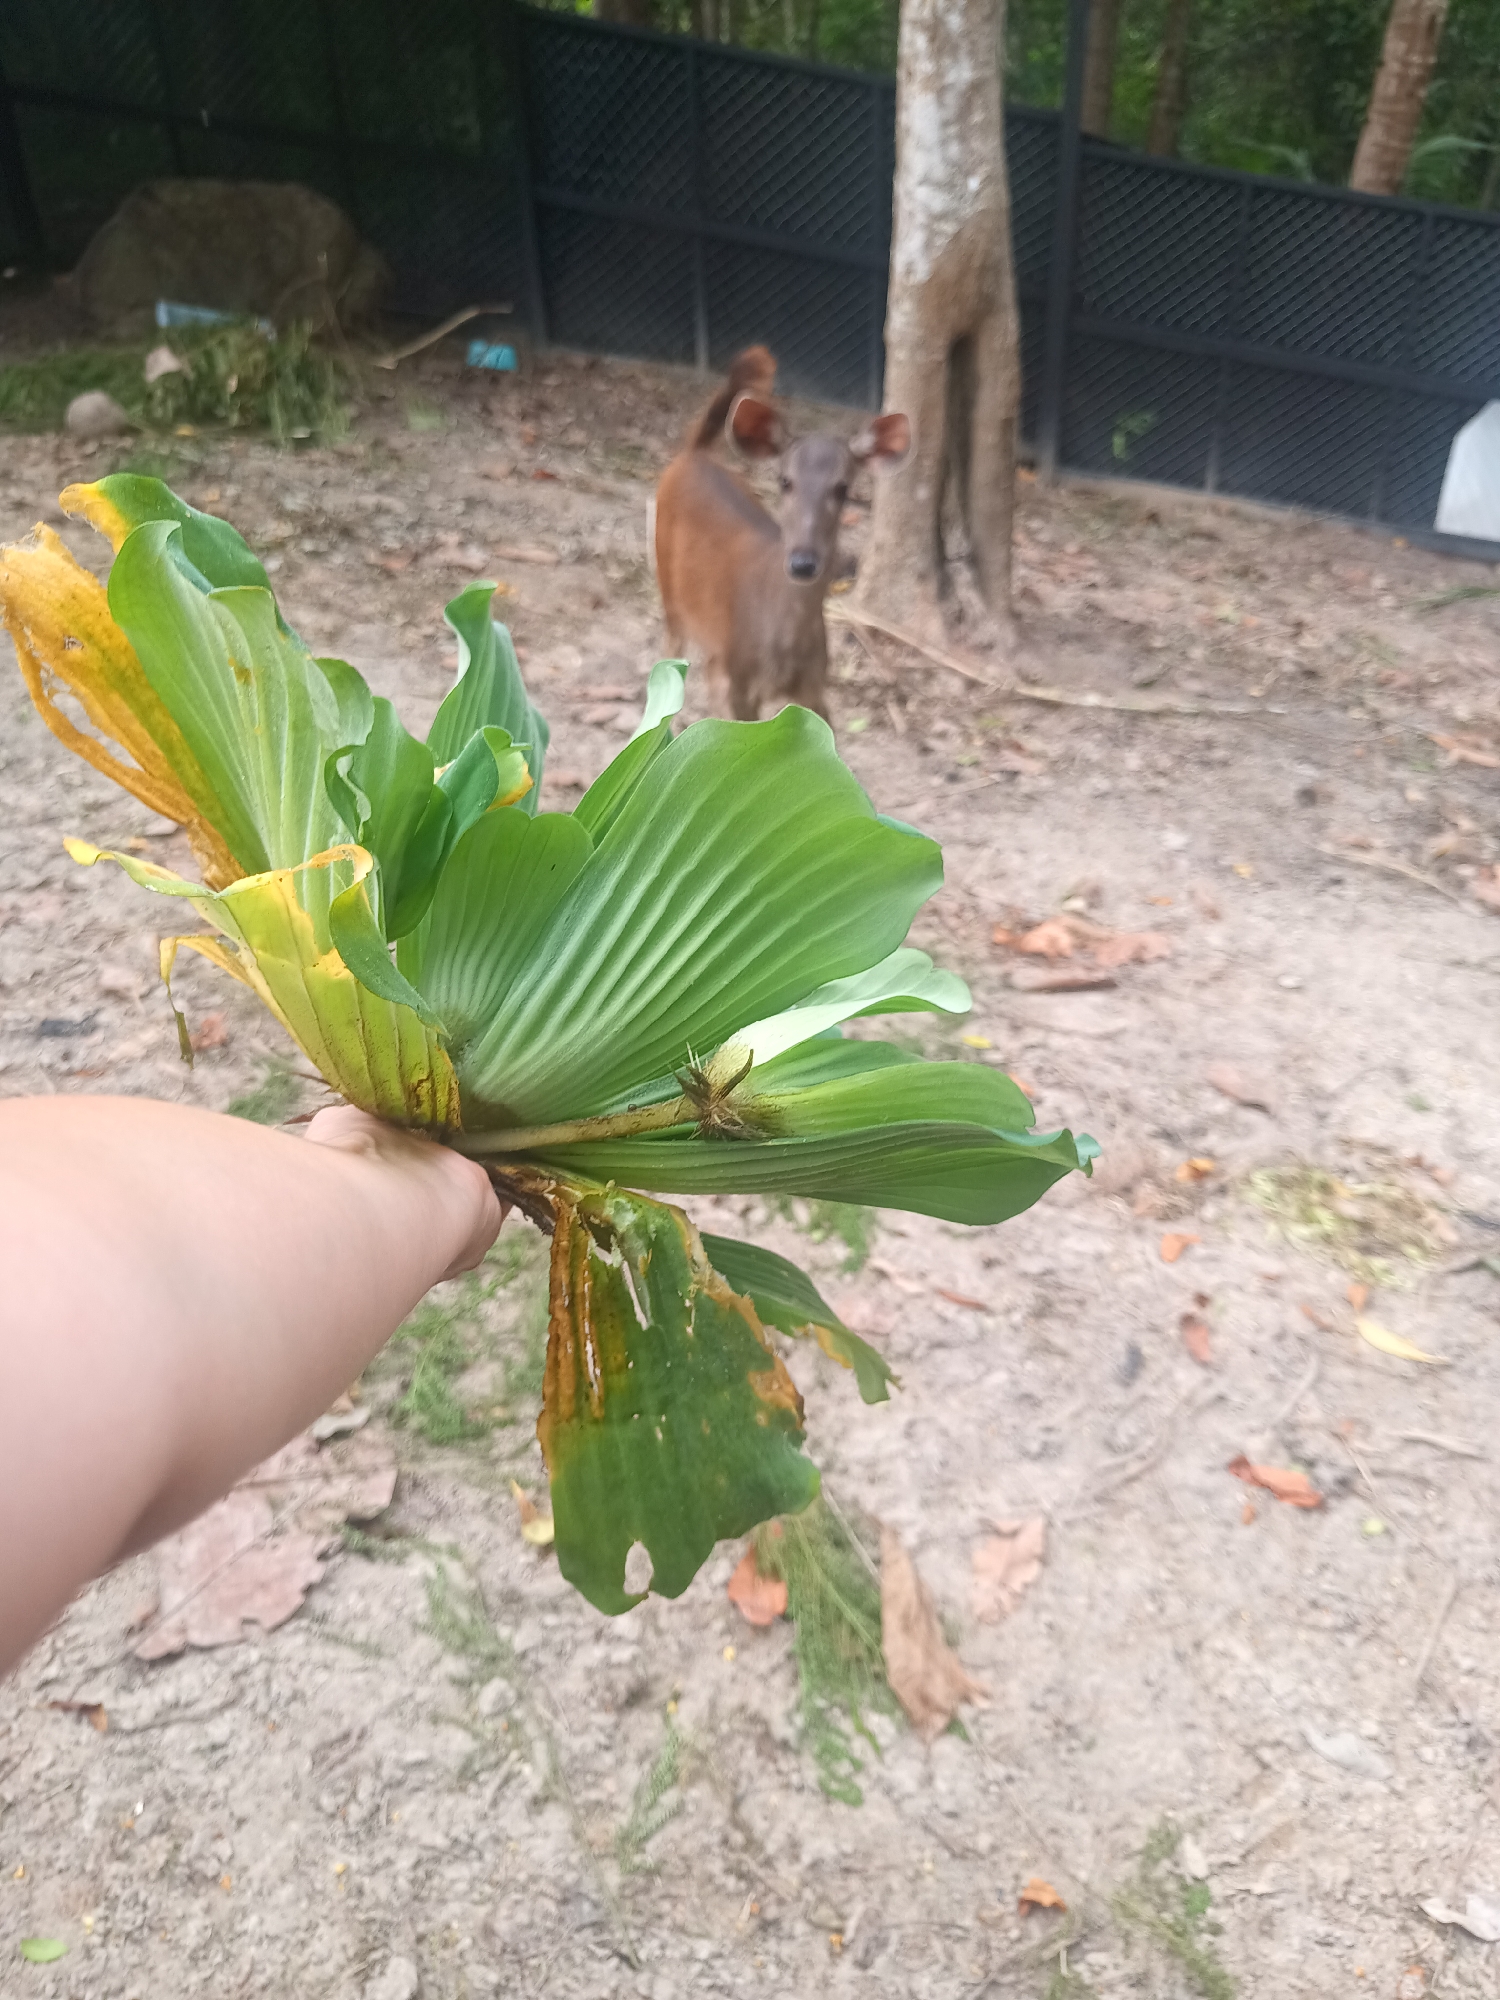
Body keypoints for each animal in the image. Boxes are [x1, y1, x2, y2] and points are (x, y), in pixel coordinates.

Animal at [653, 346, 911, 722]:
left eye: (842, 488)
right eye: (785, 480)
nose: (803, 563)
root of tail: (692, 453)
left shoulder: (813, 688)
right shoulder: (733, 682)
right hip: (669, 591)